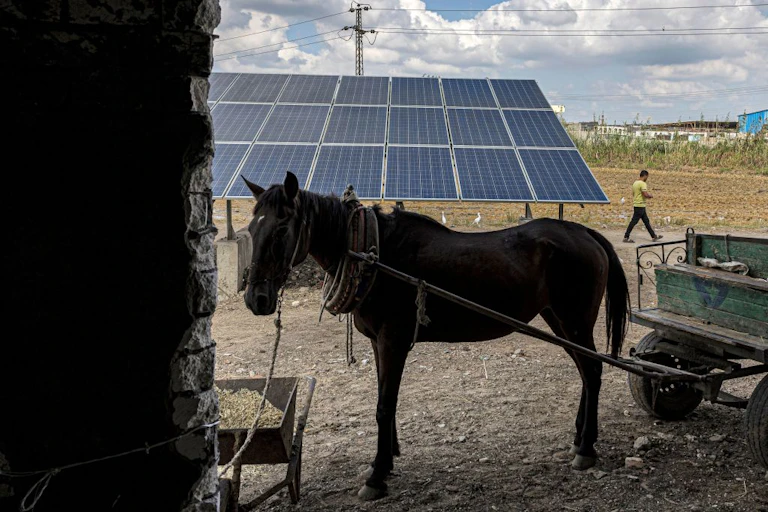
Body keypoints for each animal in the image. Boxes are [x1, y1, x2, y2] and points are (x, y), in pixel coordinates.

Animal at [241, 172, 630, 501]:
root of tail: (585, 233)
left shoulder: (393, 340)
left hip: (575, 321)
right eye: (250, 229)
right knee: (586, 372)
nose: (256, 298)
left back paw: (586, 448)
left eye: (281, 230)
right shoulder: (377, 342)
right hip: (559, 322)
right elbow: (384, 399)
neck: (373, 254)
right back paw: (578, 438)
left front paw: (377, 476)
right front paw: (386, 459)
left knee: (593, 372)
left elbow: (384, 406)